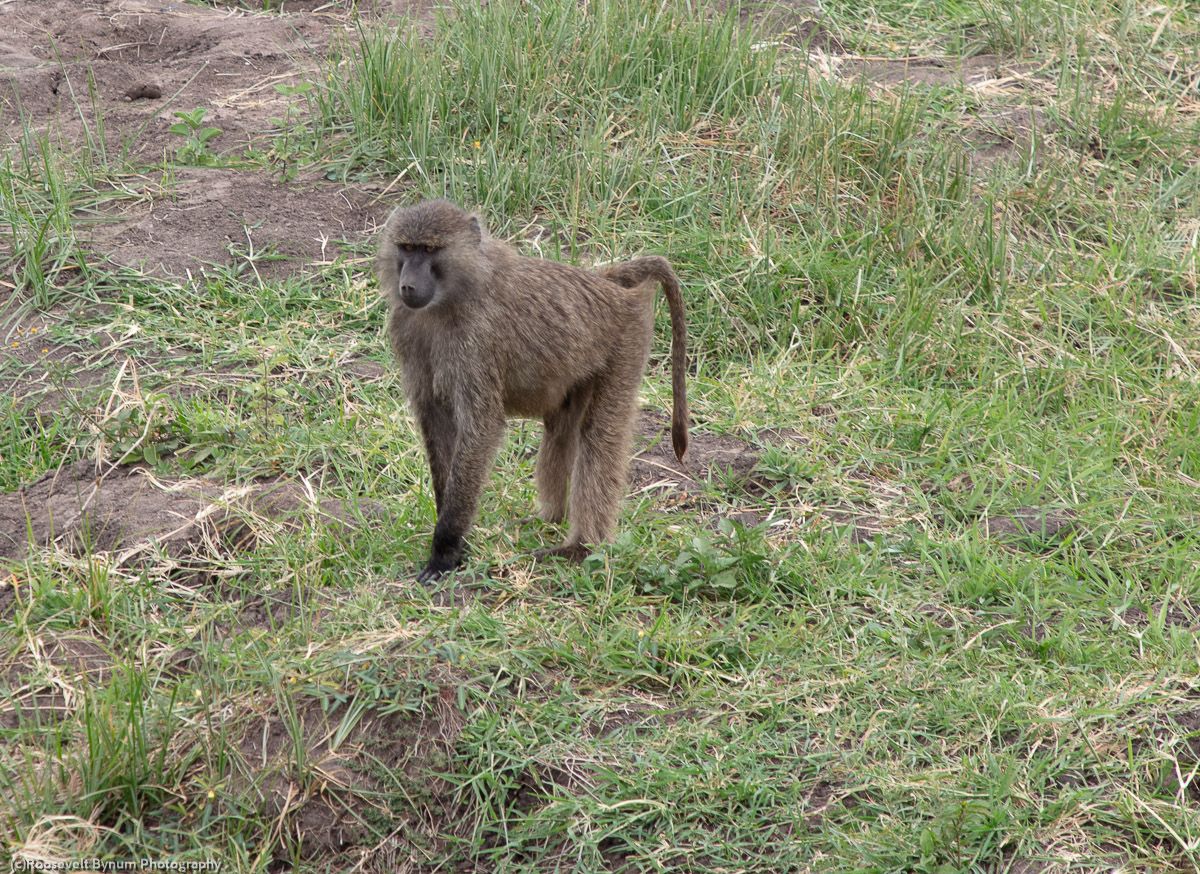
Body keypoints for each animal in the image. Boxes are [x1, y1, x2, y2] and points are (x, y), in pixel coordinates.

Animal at [376, 199, 688, 583]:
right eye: (406, 248)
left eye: (430, 250)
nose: (407, 285)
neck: (452, 297)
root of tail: (607, 282)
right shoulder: (407, 330)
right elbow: (436, 421)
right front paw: (456, 540)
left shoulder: (476, 341)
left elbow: (481, 429)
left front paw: (445, 549)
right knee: (561, 428)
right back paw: (551, 518)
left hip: (627, 338)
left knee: (599, 438)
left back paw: (581, 547)